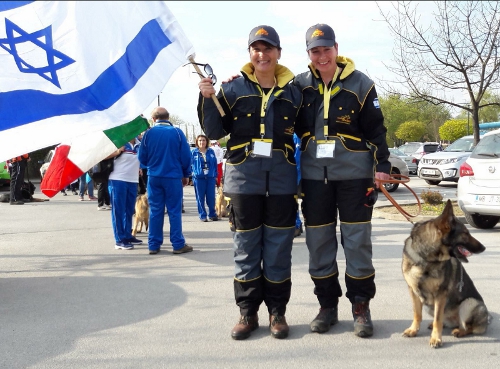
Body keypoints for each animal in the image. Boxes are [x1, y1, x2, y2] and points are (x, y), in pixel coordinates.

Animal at [402, 200, 488, 346]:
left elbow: (438, 319)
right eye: (465, 233)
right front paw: (413, 330)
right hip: (430, 306)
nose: (484, 248)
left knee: (468, 327)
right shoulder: (413, 291)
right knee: (445, 321)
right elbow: (417, 314)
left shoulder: (440, 295)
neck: (426, 258)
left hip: (469, 303)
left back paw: (459, 331)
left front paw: (436, 338)